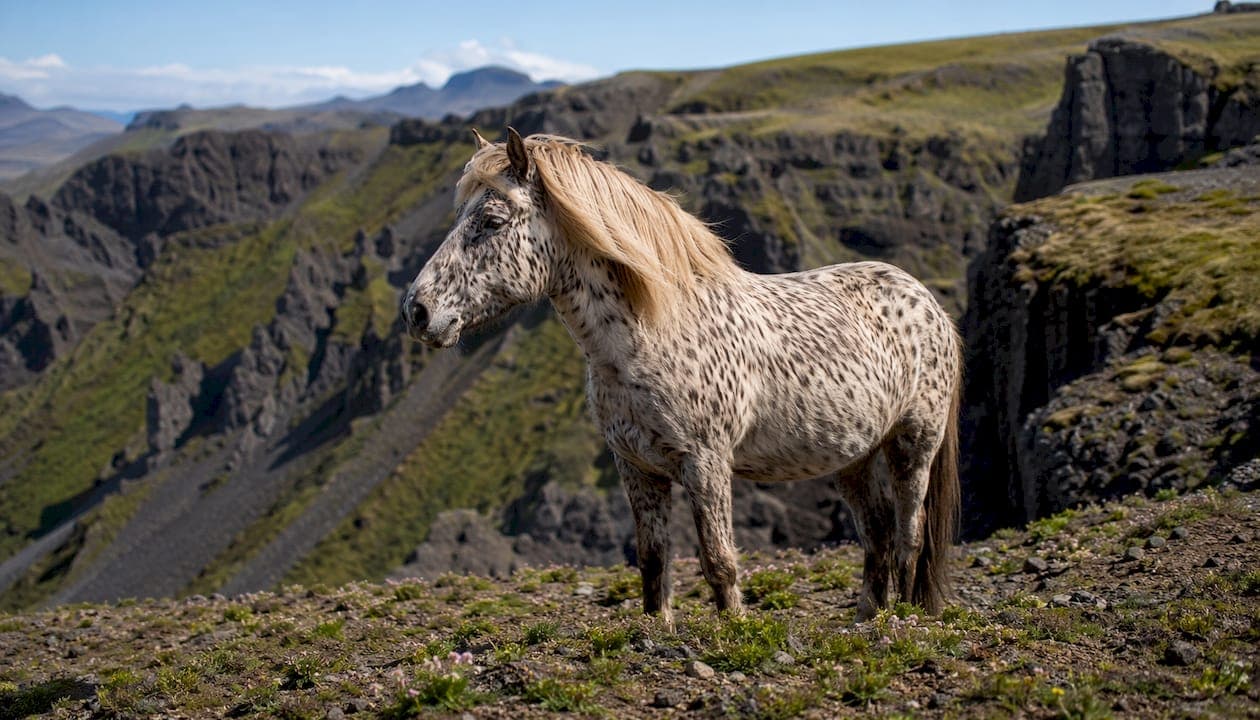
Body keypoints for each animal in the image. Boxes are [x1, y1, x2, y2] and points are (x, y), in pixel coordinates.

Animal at [402, 128, 962, 626]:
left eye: (493, 220)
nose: (417, 311)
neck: (649, 337)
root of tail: (927, 300)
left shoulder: (706, 464)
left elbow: (719, 561)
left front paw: (735, 631)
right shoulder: (636, 468)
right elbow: (653, 562)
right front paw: (659, 631)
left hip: (913, 445)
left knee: (909, 534)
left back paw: (905, 616)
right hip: (853, 457)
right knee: (878, 532)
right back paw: (868, 615)